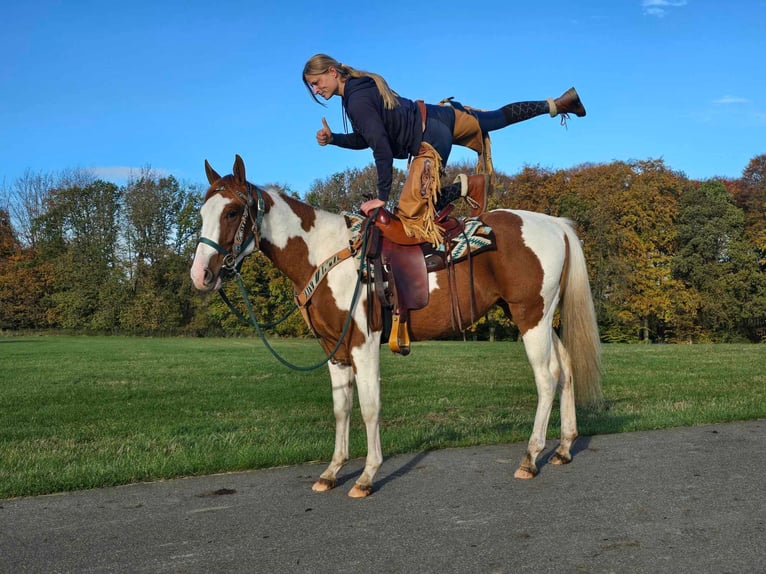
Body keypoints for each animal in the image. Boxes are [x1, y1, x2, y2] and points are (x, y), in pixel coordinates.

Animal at [189, 154, 604, 500]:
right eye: (202, 212)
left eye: (232, 212)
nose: (201, 274)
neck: (326, 254)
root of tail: (555, 225)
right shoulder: (334, 349)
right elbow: (341, 408)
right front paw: (331, 471)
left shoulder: (363, 342)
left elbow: (370, 407)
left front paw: (366, 476)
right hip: (541, 318)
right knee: (566, 369)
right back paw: (563, 448)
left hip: (530, 316)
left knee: (547, 377)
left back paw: (530, 458)